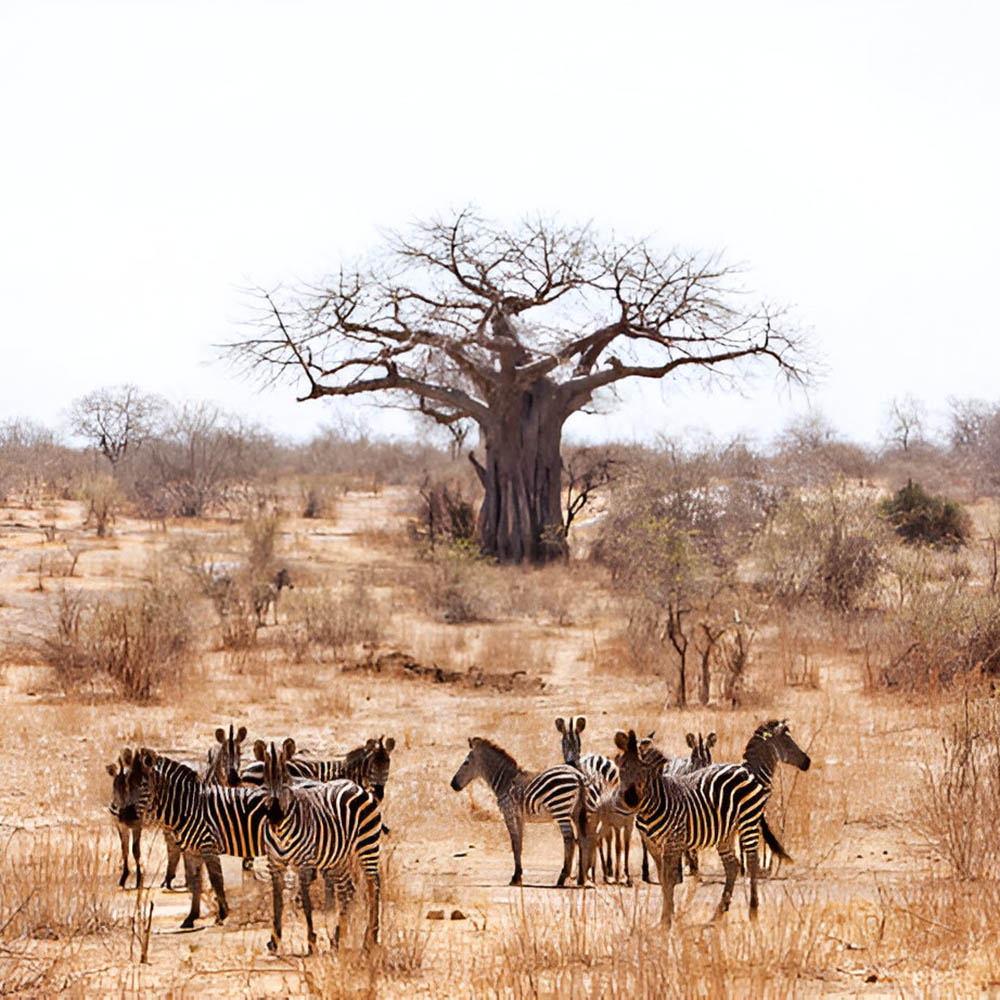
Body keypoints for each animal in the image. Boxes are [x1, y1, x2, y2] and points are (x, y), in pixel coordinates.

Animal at [254, 740, 382, 948]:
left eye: (286, 780)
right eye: (264, 780)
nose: (274, 816)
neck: (280, 830)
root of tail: (355, 785)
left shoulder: (304, 862)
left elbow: (307, 903)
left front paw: (311, 940)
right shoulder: (274, 864)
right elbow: (277, 902)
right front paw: (275, 939)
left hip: (367, 844)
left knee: (374, 887)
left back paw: (370, 938)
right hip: (340, 857)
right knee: (347, 890)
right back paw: (338, 938)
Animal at [450, 732, 588, 888]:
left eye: (465, 762)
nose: (453, 784)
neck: (505, 781)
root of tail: (577, 775)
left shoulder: (509, 814)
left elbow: (514, 844)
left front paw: (515, 878)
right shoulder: (519, 817)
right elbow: (519, 844)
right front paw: (519, 875)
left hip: (560, 809)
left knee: (569, 840)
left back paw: (562, 878)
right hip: (577, 812)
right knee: (581, 839)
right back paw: (581, 879)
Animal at [612, 720, 808, 920]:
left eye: (643, 768)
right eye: (621, 767)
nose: (630, 799)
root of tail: (740, 770)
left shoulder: (673, 841)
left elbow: (668, 880)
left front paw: (667, 919)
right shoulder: (655, 845)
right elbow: (663, 879)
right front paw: (669, 915)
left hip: (747, 821)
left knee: (751, 861)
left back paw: (752, 911)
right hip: (726, 831)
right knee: (732, 865)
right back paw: (718, 912)